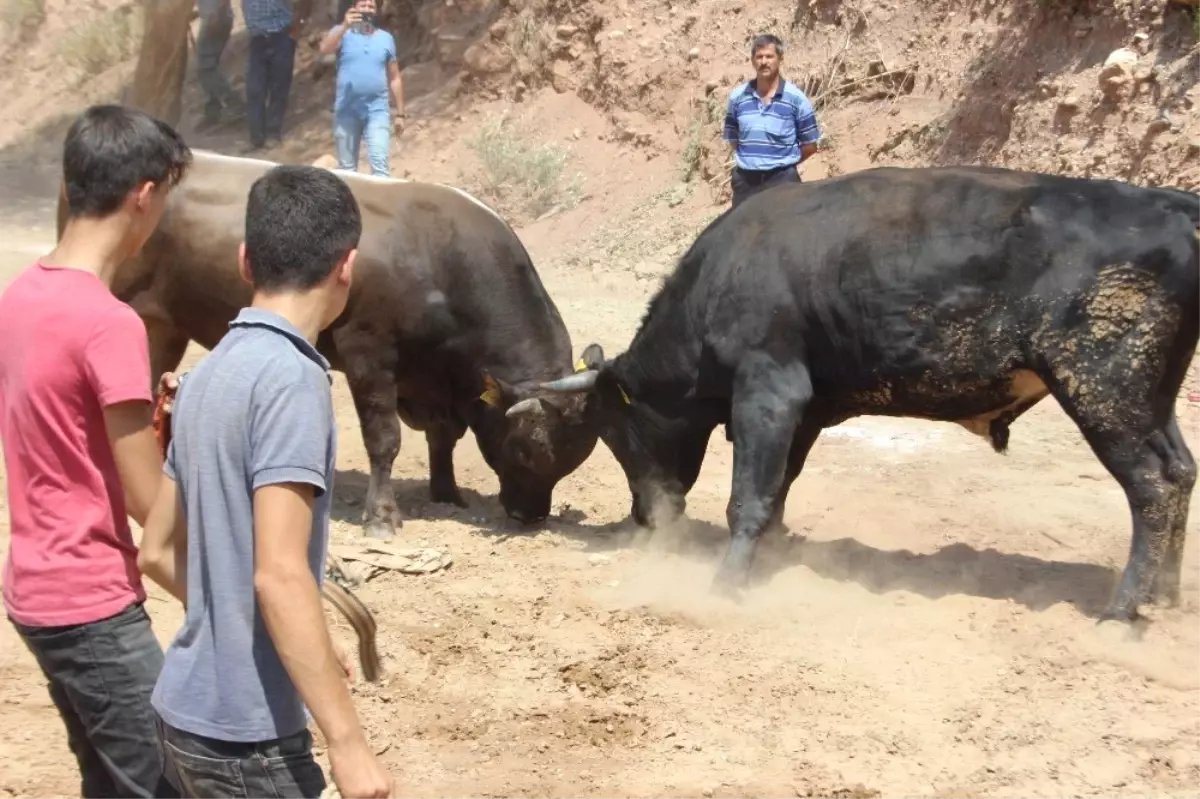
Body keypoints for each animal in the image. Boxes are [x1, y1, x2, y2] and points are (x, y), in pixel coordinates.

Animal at [540, 163, 1200, 623]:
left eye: (614, 432)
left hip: (1103, 387)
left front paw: (726, 585)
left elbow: (748, 496)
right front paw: (772, 559)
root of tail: (1173, 203)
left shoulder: (768, 389)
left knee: (1151, 487)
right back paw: (1165, 596)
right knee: (1181, 470)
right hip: (1151, 398)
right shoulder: (806, 409)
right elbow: (778, 489)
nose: (644, 517)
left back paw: (1122, 612)